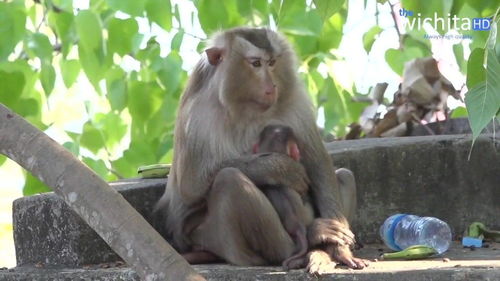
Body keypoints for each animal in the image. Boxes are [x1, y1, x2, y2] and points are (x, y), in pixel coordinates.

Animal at [154, 26, 370, 274]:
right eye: (256, 63)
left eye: (272, 62)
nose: (271, 87)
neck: (246, 106)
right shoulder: (197, 114)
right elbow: (191, 183)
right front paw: (280, 168)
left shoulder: (296, 102)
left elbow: (319, 165)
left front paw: (339, 249)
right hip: (216, 240)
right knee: (230, 180)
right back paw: (306, 242)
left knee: (344, 175)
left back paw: (322, 251)